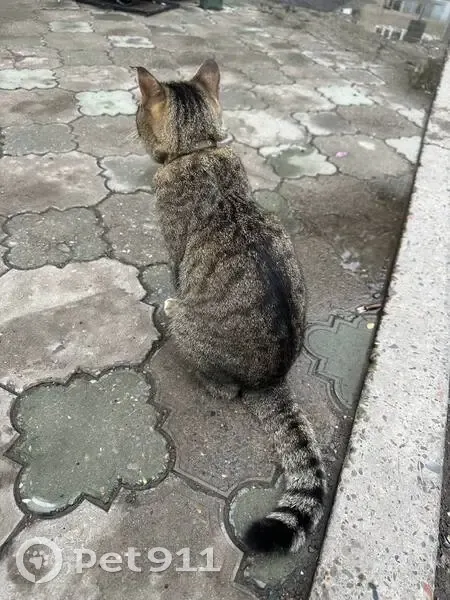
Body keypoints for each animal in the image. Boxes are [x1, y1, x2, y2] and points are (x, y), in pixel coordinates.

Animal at [135, 59, 326, 553]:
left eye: (136, 109)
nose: (129, 118)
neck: (199, 149)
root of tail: (273, 378)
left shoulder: (176, 257)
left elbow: (174, 277)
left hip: (188, 323)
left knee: (223, 387)